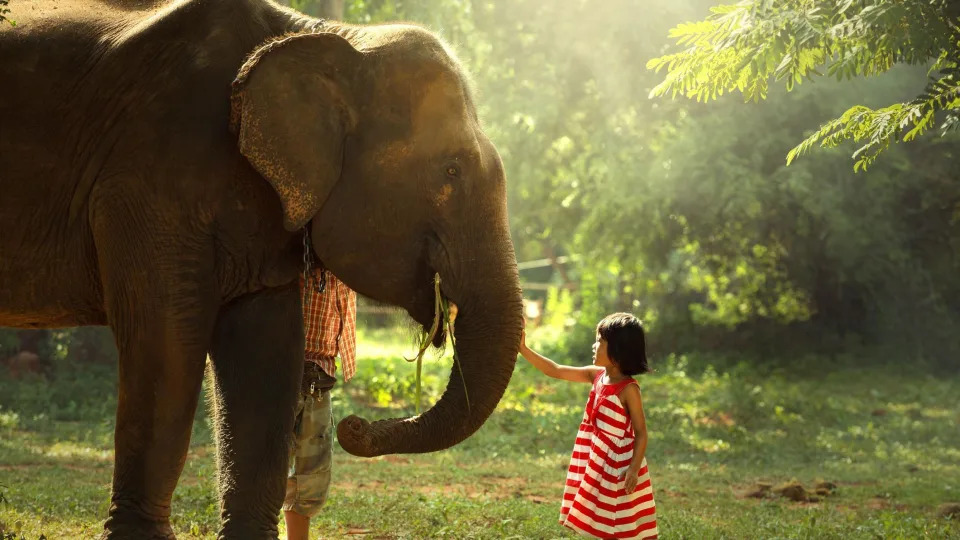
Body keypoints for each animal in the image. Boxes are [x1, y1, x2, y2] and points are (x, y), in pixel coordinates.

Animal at [0, 2, 520, 536]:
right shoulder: (145, 183)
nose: (353, 426)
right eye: (452, 171)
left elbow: (265, 354)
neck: (326, 37)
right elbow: (165, 345)